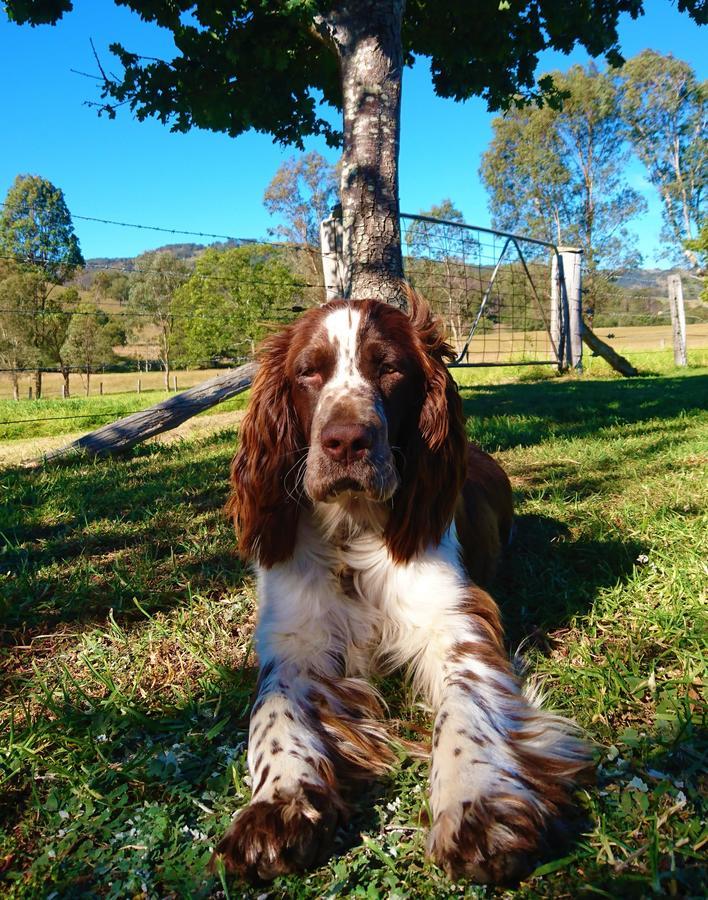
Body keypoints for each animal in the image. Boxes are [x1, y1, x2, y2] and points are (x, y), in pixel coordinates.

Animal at [213, 292, 588, 884]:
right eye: (307, 372)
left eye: (389, 368)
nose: (346, 442)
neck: (354, 534)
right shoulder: (293, 640)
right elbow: (272, 716)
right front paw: (277, 803)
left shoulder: (457, 620)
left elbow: (466, 705)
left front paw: (476, 800)